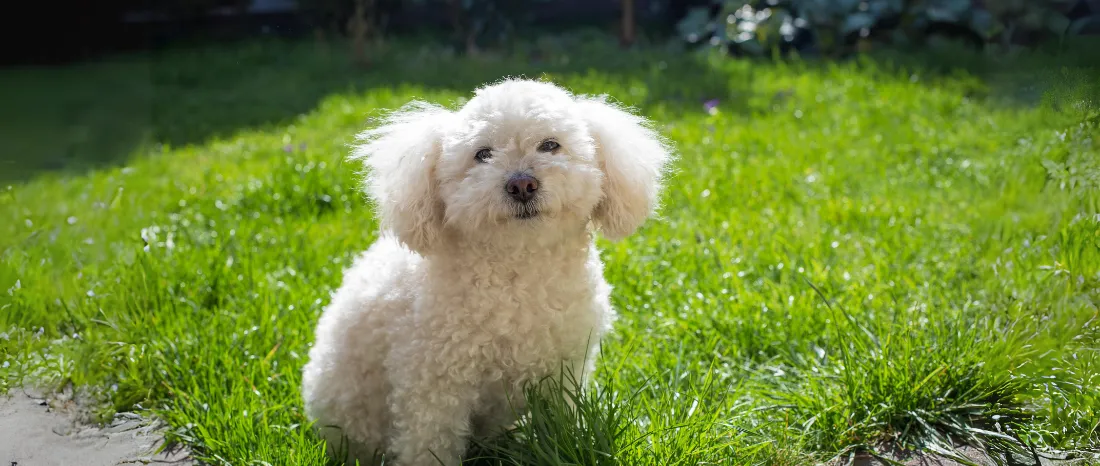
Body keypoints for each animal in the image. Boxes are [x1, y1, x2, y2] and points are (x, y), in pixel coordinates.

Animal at [301, 78, 668, 463]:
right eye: (483, 154)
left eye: (550, 145)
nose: (522, 184)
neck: (520, 268)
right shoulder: (432, 382)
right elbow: (429, 443)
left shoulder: (564, 369)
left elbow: (560, 425)